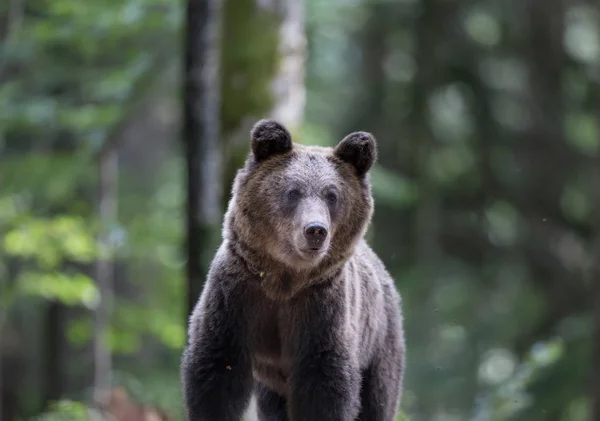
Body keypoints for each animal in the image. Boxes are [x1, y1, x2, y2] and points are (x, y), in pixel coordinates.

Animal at [182, 119, 408, 420]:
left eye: (332, 195)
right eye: (293, 192)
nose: (315, 230)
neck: (284, 280)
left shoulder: (321, 311)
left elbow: (325, 387)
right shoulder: (235, 298)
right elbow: (216, 375)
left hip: (380, 343)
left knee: (377, 400)